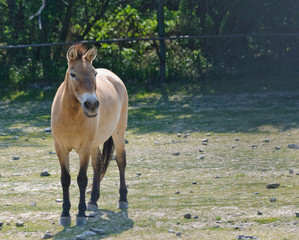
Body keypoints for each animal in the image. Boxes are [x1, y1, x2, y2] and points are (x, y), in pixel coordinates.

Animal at [51, 44, 129, 226]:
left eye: (94, 74)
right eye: (73, 74)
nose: (92, 105)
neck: (70, 116)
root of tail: (113, 77)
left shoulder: (83, 149)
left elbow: (81, 179)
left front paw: (80, 214)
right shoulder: (60, 148)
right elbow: (65, 179)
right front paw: (65, 214)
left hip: (118, 132)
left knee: (121, 160)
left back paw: (123, 199)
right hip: (95, 143)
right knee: (98, 163)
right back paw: (93, 201)